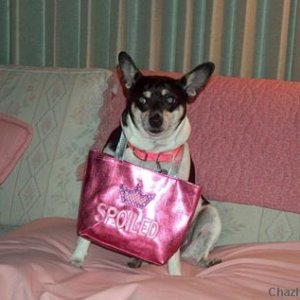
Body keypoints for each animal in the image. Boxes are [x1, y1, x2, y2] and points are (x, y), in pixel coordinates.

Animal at [69, 51, 221, 274]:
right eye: (142, 99)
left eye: (170, 99)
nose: (155, 119)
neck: (151, 151)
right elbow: (85, 234)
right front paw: (78, 257)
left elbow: (173, 257)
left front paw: (175, 275)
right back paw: (137, 258)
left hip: (210, 216)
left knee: (195, 253)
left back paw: (206, 261)